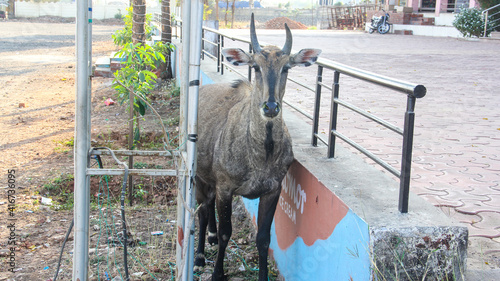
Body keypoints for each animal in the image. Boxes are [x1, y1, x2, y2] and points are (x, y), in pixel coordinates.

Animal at [195, 14, 320, 278]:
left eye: (286, 67)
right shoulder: (226, 188)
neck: (260, 155)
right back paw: (199, 256)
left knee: (207, 206)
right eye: (255, 66)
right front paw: (218, 273)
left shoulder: (273, 190)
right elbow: (227, 233)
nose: (270, 107)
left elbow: (264, 239)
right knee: (202, 209)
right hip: (198, 175)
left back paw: (209, 238)